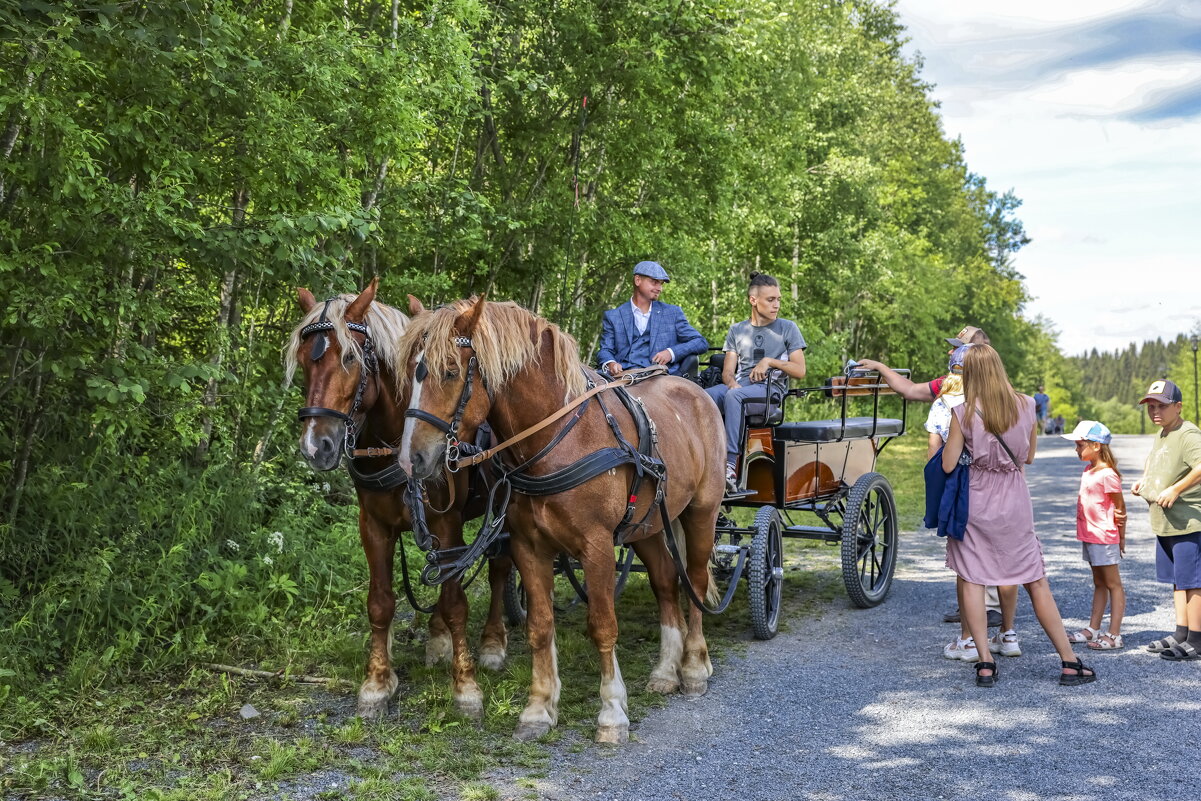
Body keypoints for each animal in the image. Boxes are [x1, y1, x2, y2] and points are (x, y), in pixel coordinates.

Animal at [285, 281, 511, 720]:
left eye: (349, 358)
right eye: (304, 361)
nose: (315, 447)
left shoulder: (446, 523)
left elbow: (456, 601)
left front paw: (466, 687)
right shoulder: (374, 526)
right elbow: (381, 602)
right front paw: (376, 682)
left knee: (498, 570)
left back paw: (493, 642)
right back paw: (437, 639)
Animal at [398, 296, 725, 744]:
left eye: (449, 371)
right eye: (408, 373)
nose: (410, 459)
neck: (559, 438)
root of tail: (695, 391)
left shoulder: (597, 546)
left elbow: (602, 625)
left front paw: (611, 712)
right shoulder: (528, 546)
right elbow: (539, 626)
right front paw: (539, 708)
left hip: (701, 513)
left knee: (693, 579)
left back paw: (693, 666)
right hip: (647, 526)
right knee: (664, 581)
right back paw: (664, 670)